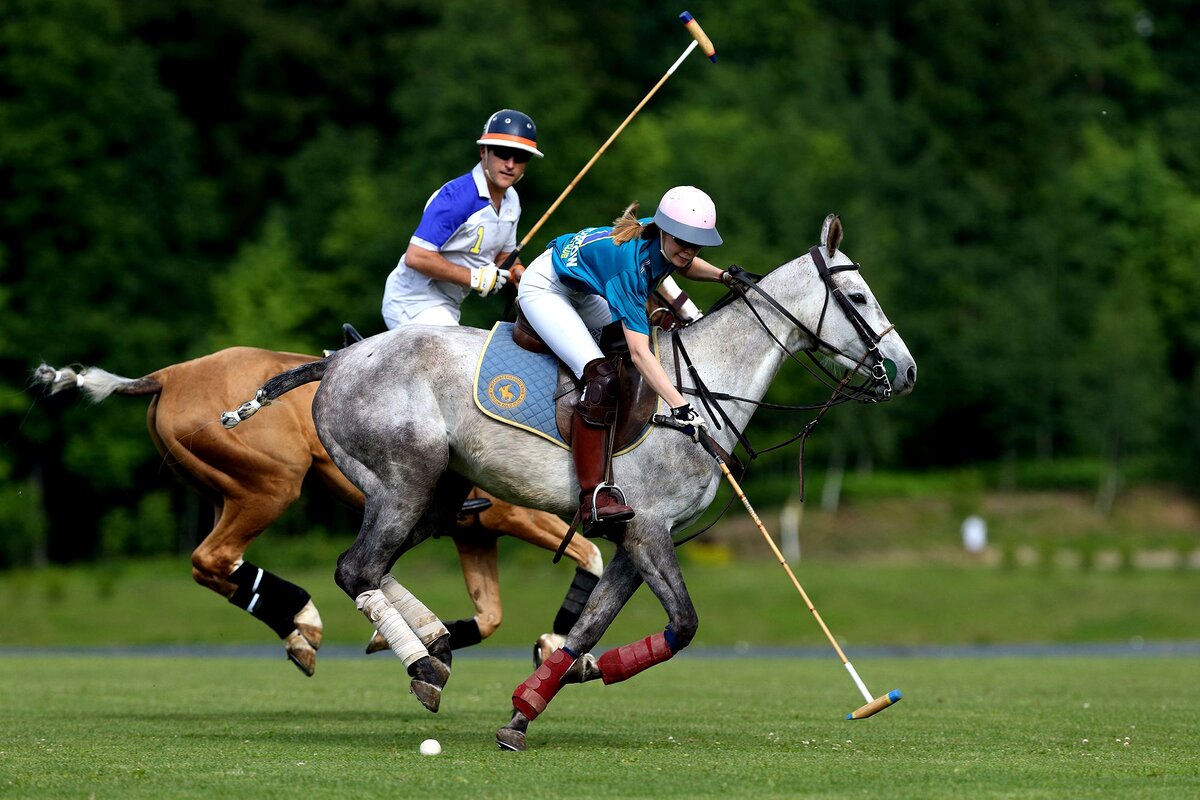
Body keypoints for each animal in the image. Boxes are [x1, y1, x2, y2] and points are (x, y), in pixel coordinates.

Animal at [34, 347, 604, 681]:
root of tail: (168, 374)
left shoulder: (474, 534)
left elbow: (489, 616)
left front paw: (404, 637)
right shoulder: (517, 515)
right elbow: (590, 554)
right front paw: (556, 644)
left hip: (225, 488)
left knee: (211, 563)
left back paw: (299, 632)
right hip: (271, 485)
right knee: (213, 558)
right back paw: (303, 620)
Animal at [226, 214, 916, 753]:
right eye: (857, 297)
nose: (906, 371)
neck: (703, 385)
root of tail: (337, 359)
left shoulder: (638, 540)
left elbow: (593, 629)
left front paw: (533, 702)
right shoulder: (647, 528)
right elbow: (684, 624)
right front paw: (551, 683)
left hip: (437, 494)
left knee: (373, 565)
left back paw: (435, 641)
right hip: (404, 478)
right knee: (357, 568)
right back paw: (424, 664)